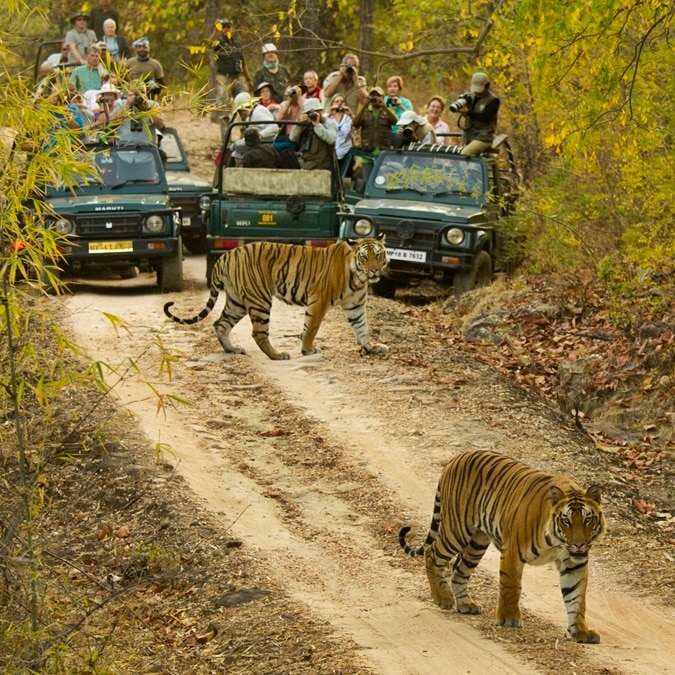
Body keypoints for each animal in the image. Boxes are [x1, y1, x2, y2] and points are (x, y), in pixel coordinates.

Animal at [163, 236, 389, 360]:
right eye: (364, 257)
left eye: (378, 255)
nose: (374, 270)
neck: (358, 277)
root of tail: (225, 255)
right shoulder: (318, 300)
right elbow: (311, 327)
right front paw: (308, 350)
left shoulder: (355, 305)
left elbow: (362, 326)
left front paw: (371, 347)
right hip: (260, 299)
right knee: (258, 333)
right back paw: (277, 355)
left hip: (237, 302)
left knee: (220, 323)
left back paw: (232, 349)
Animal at [399, 449, 606, 643]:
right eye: (566, 521)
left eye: (587, 520)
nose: (579, 544)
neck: (557, 543)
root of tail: (456, 457)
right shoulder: (512, 552)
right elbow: (511, 586)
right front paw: (509, 619)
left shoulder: (574, 564)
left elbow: (577, 599)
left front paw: (580, 631)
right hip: (456, 530)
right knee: (431, 553)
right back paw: (442, 597)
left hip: (477, 542)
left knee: (459, 570)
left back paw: (465, 604)